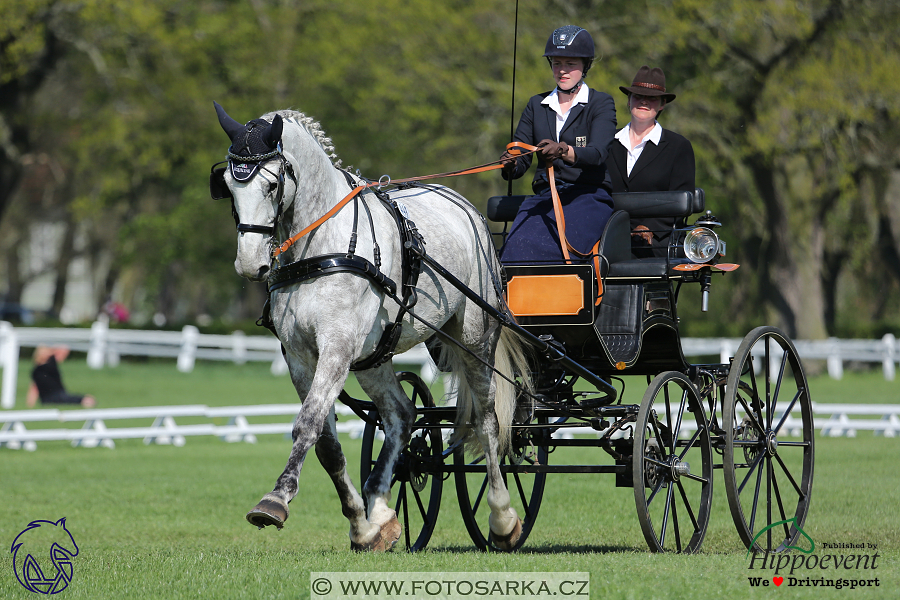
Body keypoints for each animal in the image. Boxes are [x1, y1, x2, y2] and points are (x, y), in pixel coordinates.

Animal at [214, 102, 532, 548]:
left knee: (487, 421)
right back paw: (381, 509)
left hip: (475, 338)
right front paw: (363, 525)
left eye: (273, 184)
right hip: (374, 357)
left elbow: (307, 425)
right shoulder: (300, 357)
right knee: (401, 412)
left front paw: (275, 500)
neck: (321, 246)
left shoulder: (336, 346)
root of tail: (468, 209)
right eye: (228, 185)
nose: (249, 264)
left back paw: (503, 519)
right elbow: (326, 442)